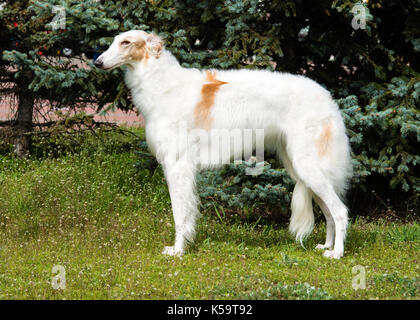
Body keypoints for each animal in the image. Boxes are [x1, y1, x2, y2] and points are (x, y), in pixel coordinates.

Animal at [94, 30, 352, 258]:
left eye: (126, 42)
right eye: (114, 40)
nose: (97, 62)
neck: (162, 85)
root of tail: (327, 97)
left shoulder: (178, 166)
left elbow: (180, 214)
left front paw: (178, 250)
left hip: (308, 165)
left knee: (340, 211)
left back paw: (337, 253)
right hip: (300, 166)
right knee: (329, 213)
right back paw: (326, 246)